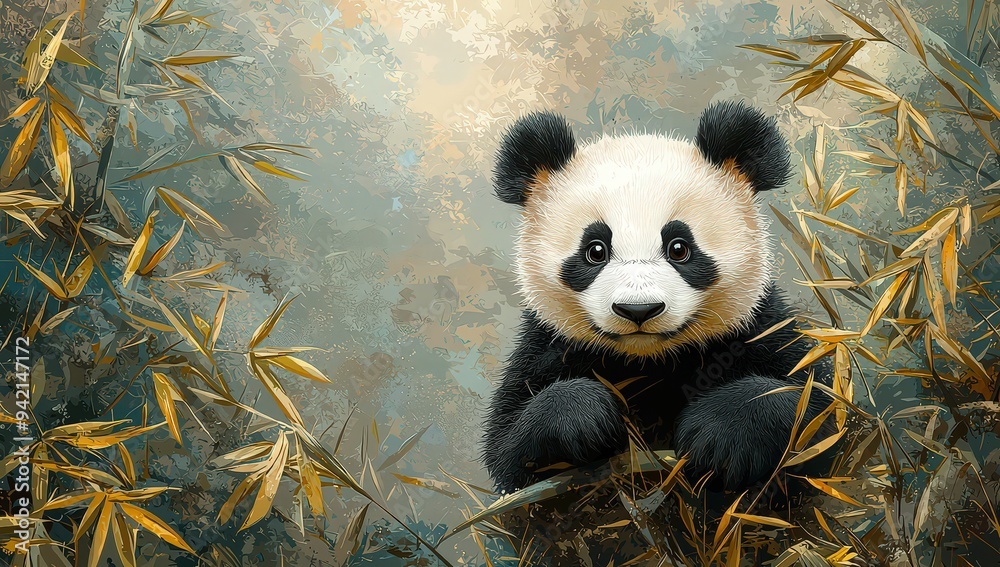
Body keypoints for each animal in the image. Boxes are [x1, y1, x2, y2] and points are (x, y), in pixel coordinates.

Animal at [482, 101, 831, 494]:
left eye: (679, 248)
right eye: (595, 250)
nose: (639, 310)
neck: (649, 361)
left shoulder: (759, 329)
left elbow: (815, 413)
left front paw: (717, 435)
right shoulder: (548, 346)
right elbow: (510, 448)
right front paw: (586, 417)